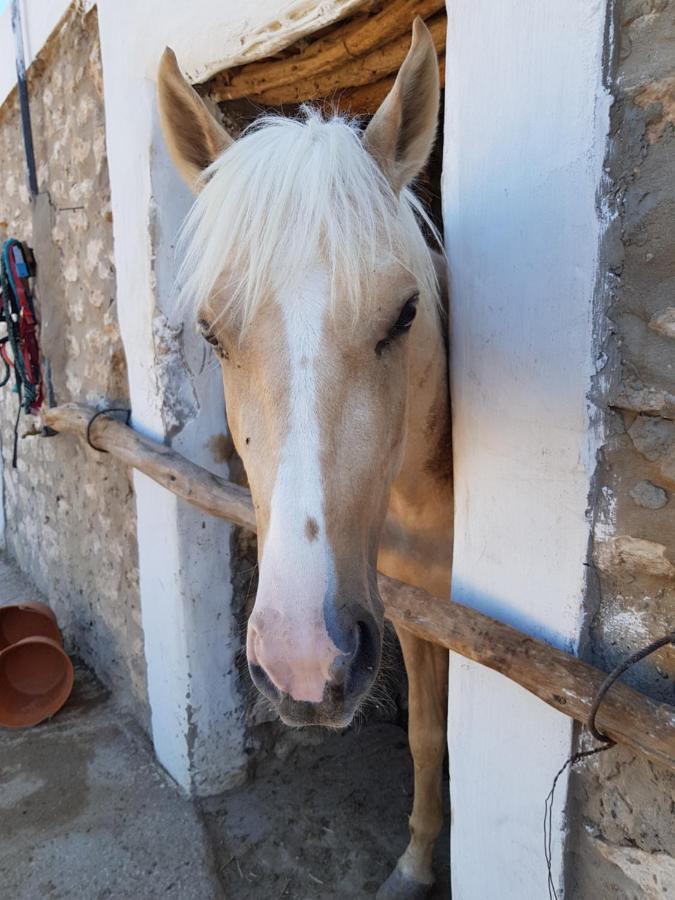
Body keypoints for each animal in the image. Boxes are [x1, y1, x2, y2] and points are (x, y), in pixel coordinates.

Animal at [158, 17, 454, 896]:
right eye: (213, 332)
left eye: (403, 315)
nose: (301, 660)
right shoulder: (417, 616)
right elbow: (426, 734)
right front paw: (416, 860)